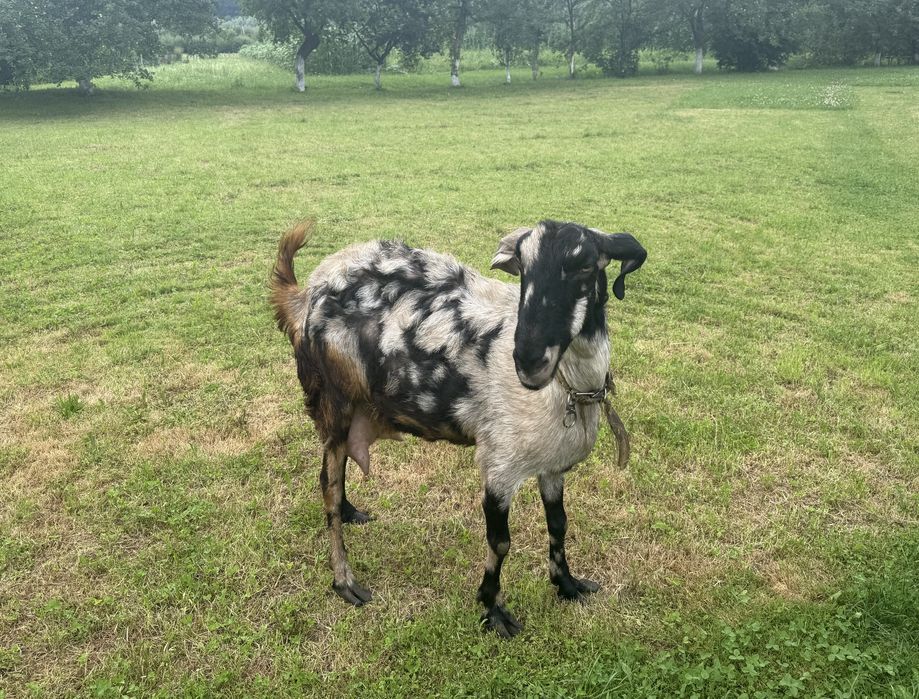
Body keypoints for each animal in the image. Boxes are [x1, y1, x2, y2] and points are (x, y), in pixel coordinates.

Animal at [270, 219, 646, 638]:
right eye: (523, 269)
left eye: (584, 267)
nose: (528, 358)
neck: (568, 387)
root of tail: (306, 294)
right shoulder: (499, 465)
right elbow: (500, 543)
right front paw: (492, 610)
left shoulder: (552, 465)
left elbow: (559, 524)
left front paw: (567, 584)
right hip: (332, 402)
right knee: (328, 488)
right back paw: (345, 580)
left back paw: (353, 513)